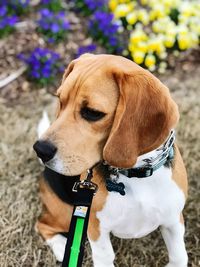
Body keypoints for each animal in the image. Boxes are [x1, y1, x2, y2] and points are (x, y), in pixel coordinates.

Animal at [32, 53, 188, 266]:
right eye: (60, 101)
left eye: (92, 112)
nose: (40, 150)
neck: (136, 173)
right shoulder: (95, 229)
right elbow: (105, 256)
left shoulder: (173, 221)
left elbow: (179, 256)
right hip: (65, 214)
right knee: (42, 225)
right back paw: (62, 248)